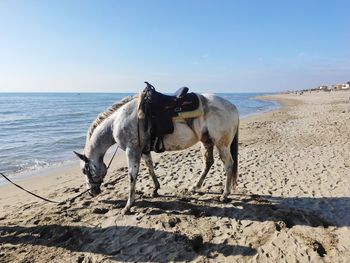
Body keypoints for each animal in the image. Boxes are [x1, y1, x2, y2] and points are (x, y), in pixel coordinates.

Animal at [73, 87, 238, 216]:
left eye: (84, 170)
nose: (92, 192)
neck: (117, 121)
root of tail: (233, 107)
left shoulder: (132, 150)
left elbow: (132, 176)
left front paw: (128, 206)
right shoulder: (143, 150)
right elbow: (150, 168)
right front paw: (155, 189)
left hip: (221, 144)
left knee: (228, 164)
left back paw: (224, 194)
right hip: (206, 141)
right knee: (208, 162)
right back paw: (195, 187)